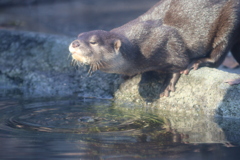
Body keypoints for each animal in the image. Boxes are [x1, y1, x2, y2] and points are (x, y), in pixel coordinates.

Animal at [69, 0, 240, 97]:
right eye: (79, 35)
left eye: (93, 42)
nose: (74, 43)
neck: (139, 49)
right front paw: (127, 76)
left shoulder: (169, 42)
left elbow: (179, 63)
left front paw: (167, 84)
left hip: (231, 16)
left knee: (220, 50)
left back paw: (199, 62)